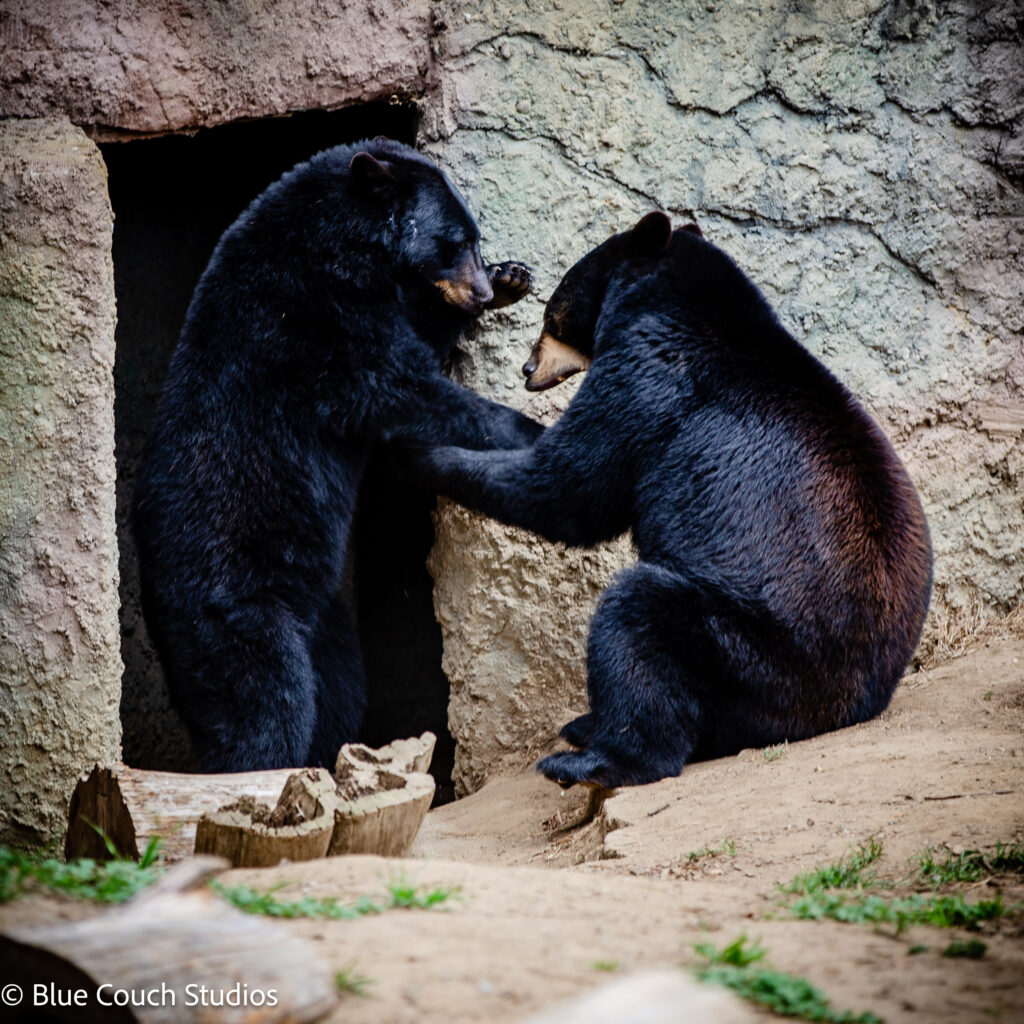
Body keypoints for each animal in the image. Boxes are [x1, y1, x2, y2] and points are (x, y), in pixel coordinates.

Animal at [133, 138, 543, 773]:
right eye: (452, 241)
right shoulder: (312, 315)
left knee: (339, 690)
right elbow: (397, 385)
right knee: (267, 698)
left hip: (324, 615)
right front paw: (531, 429)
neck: (340, 244)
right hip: (228, 599)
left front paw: (511, 277)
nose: (478, 289)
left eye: (474, 237)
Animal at [406, 211, 934, 789]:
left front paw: (421, 455)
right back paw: (585, 727)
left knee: (639, 623)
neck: (674, 301)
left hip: (754, 654)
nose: (526, 368)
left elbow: (569, 488)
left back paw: (591, 758)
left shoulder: (648, 377)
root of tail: (853, 704)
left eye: (552, 314)